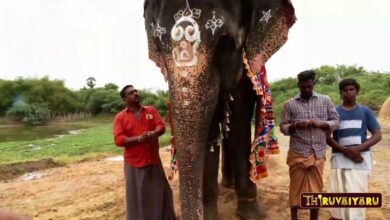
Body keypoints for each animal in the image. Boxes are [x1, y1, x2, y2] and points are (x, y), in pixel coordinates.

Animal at [143, 0, 296, 219]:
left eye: (226, 43)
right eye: (158, 46)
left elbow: (239, 117)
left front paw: (251, 213)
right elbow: (212, 126)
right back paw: (226, 184)